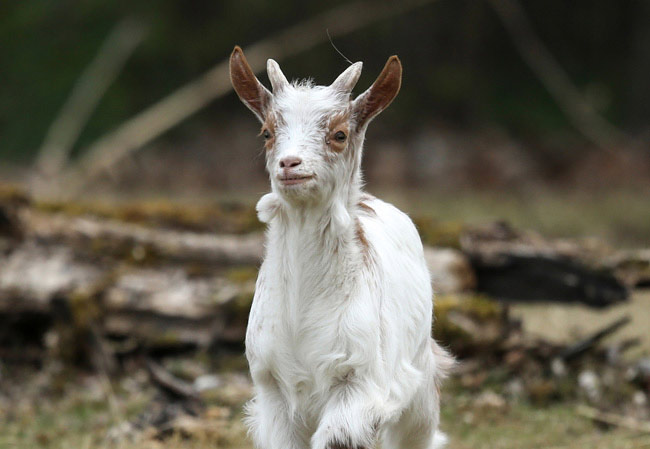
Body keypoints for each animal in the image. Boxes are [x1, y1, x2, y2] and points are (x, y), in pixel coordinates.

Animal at [229, 46, 453, 449]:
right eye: (267, 132)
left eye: (339, 134)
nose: (290, 163)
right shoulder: (271, 388)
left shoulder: (360, 383)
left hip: (420, 386)